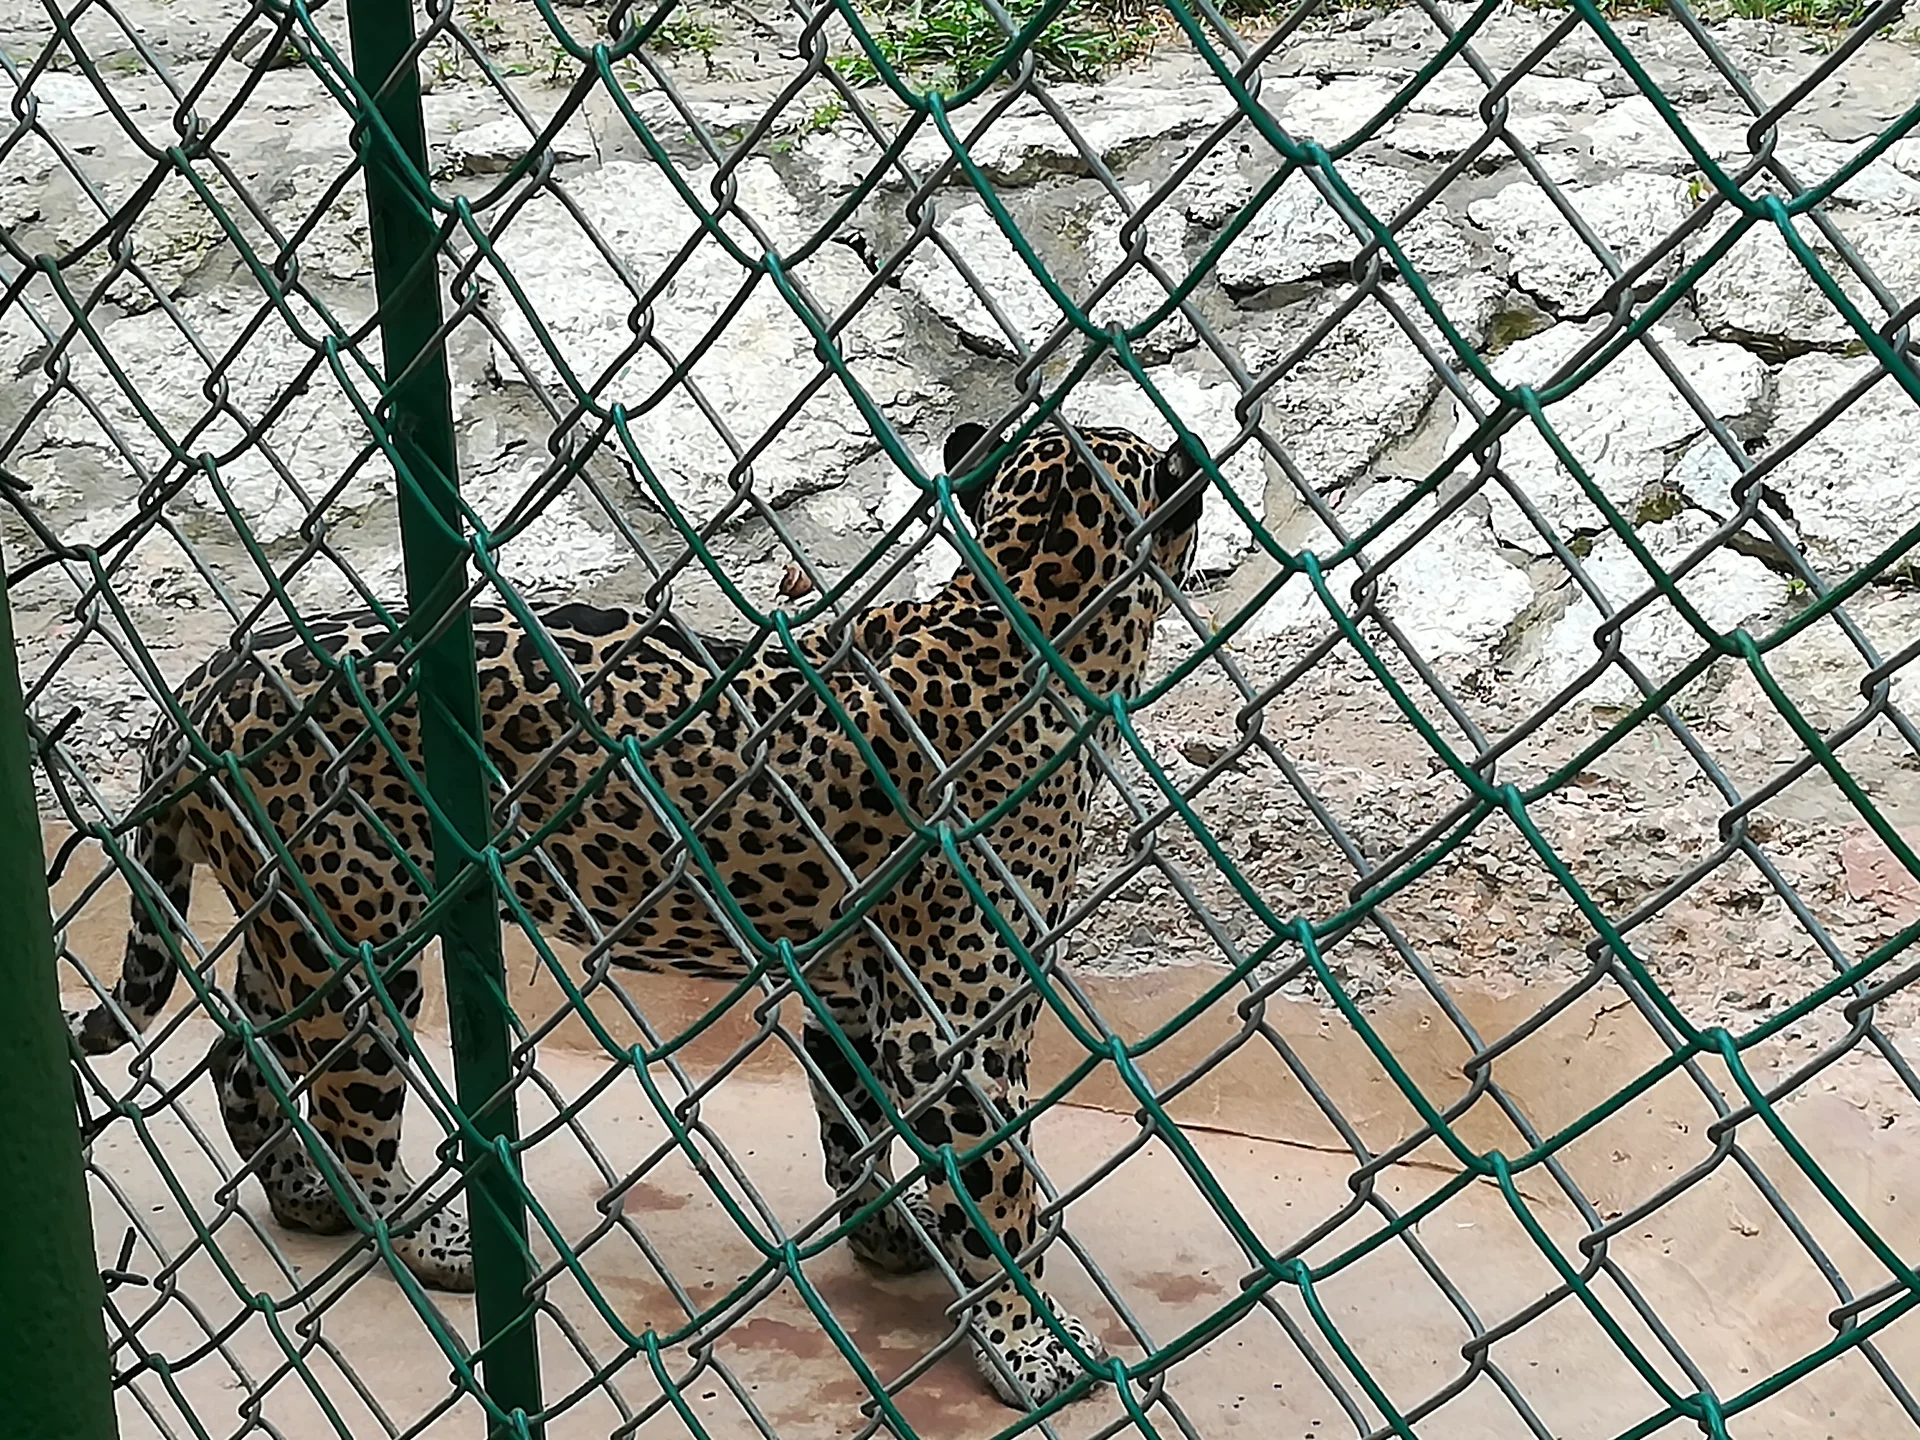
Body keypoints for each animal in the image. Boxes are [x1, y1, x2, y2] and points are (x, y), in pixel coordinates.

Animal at [68, 419, 1205, 1408]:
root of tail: (200, 685)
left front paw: (888, 1234)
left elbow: (853, 1125)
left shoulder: (852, 990)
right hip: (356, 933)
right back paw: (432, 1239)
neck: (1018, 605)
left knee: (238, 1050)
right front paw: (1027, 1341)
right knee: (351, 1104)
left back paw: (303, 1198)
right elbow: (999, 1184)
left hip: (297, 916)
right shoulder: (954, 1026)